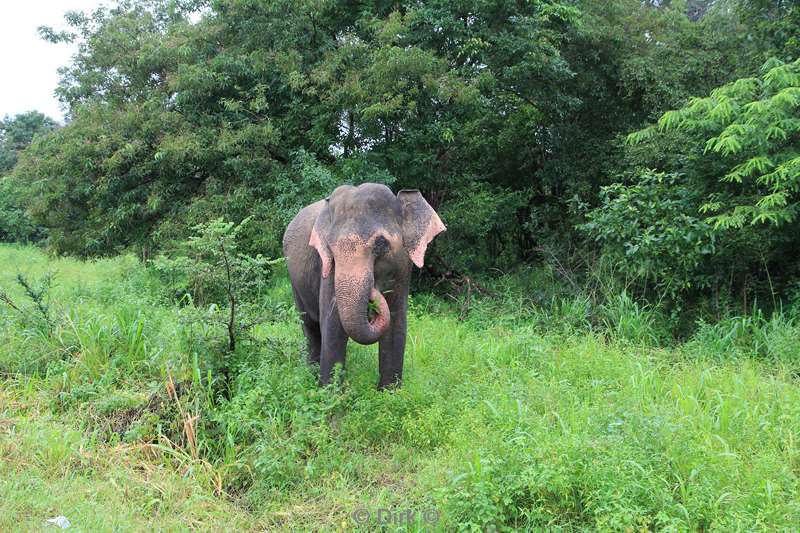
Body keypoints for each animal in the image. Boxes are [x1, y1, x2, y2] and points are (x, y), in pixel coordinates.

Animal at [282, 183, 444, 386]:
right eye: (330, 248)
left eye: (381, 243)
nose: (374, 291)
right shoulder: (326, 268)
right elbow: (332, 325)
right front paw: (329, 391)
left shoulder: (403, 269)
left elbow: (396, 323)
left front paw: (389, 391)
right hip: (294, 282)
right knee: (310, 327)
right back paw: (311, 374)